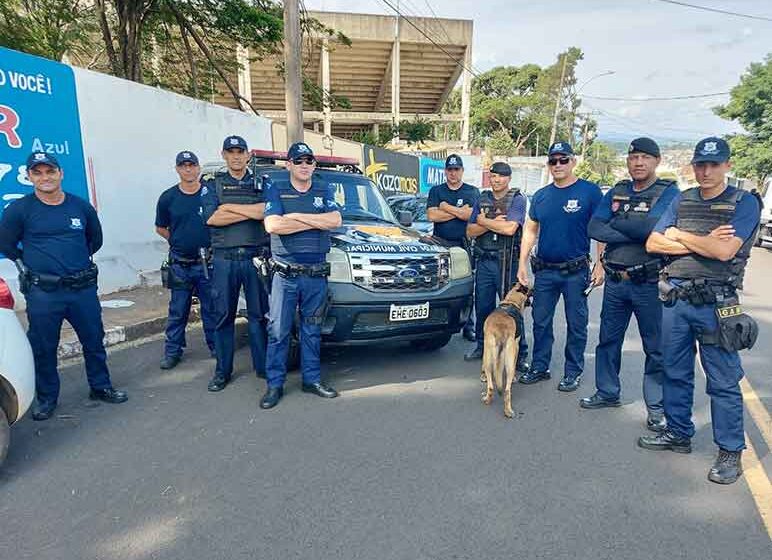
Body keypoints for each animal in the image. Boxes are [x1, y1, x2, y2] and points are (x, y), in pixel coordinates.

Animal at [480, 284, 528, 416]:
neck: (511, 301)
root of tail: (500, 331)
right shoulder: (516, 346)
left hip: (488, 355)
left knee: (491, 386)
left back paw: (488, 399)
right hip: (509, 362)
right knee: (507, 391)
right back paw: (508, 411)